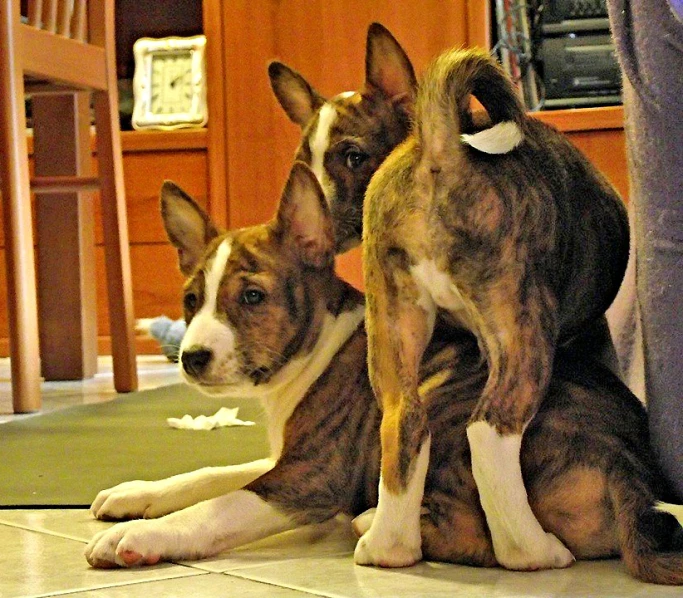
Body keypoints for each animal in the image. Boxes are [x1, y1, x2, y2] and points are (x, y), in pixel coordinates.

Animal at [85, 163, 683, 584]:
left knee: (484, 538)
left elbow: (216, 506)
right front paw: (134, 494)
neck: (314, 351)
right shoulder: (292, 457)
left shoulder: (311, 476)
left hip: (439, 405)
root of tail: (627, 469)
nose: (191, 357)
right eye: (191, 300)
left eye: (253, 297)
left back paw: (368, 522)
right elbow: (208, 475)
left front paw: (141, 537)